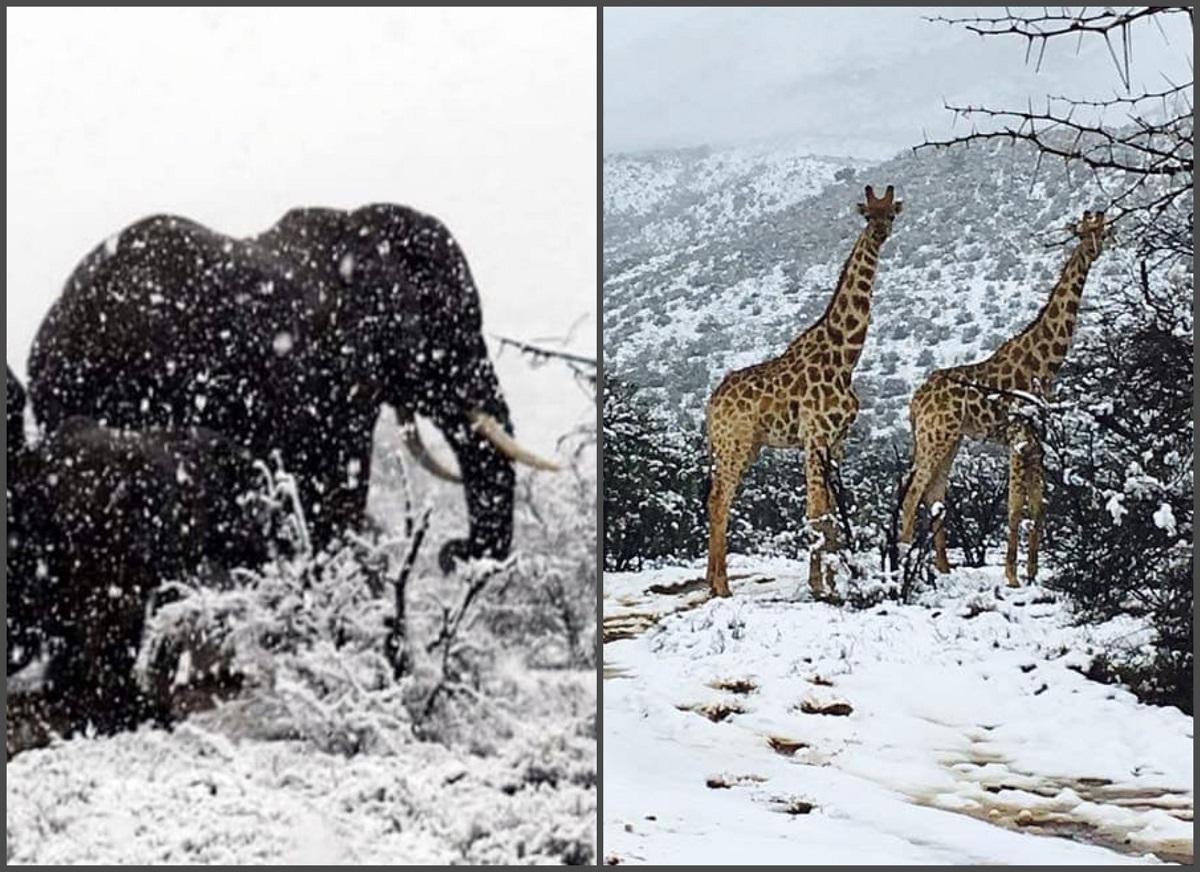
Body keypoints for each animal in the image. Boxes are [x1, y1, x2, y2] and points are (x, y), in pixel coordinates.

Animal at [705, 184, 903, 599]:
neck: (846, 357)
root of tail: (711, 403)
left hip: (744, 446)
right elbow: (815, 511)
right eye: (867, 215)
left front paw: (836, 582)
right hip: (734, 443)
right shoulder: (815, 436)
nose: (879, 233)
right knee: (719, 501)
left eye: (891, 213)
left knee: (716, 499)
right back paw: (721, 586)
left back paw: (712, 581)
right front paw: (819, 586)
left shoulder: (837, 441)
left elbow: (830, 512)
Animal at [899, 210, 1110, 587]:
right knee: (913, 494)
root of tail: (915, 402)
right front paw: (1012, 575)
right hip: (934, 436)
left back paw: (942, 568)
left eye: (1102, 227)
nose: (1097, 247)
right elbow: (1014, 507)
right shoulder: (1019, 436)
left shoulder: (1037, 439)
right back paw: (905, 564)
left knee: (934, 494)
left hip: (949, 439)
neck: (1046, 363)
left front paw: (1032, 573)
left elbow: (1039, 505)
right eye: (1085, 230)